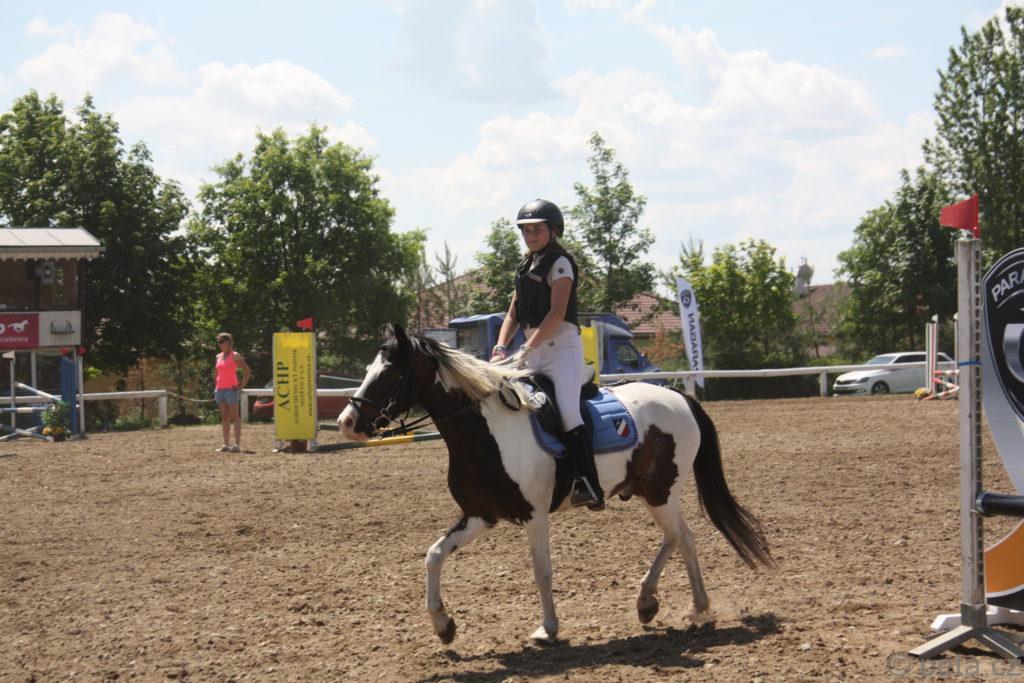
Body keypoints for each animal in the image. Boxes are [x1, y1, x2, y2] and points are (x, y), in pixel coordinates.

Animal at [338, 324, 773, 644]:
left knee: (684, 537)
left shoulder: (535, 516)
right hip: (649, 492)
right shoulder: (480, 516)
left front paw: (547, 629)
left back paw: (697, 606)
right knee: (674, 537)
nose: (347, 422)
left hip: (662, 491)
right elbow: (434, 555)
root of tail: (679, 396)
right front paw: (443, 625)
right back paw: (647, 602)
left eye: (390, 373)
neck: (487, 433)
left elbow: (542, 572)